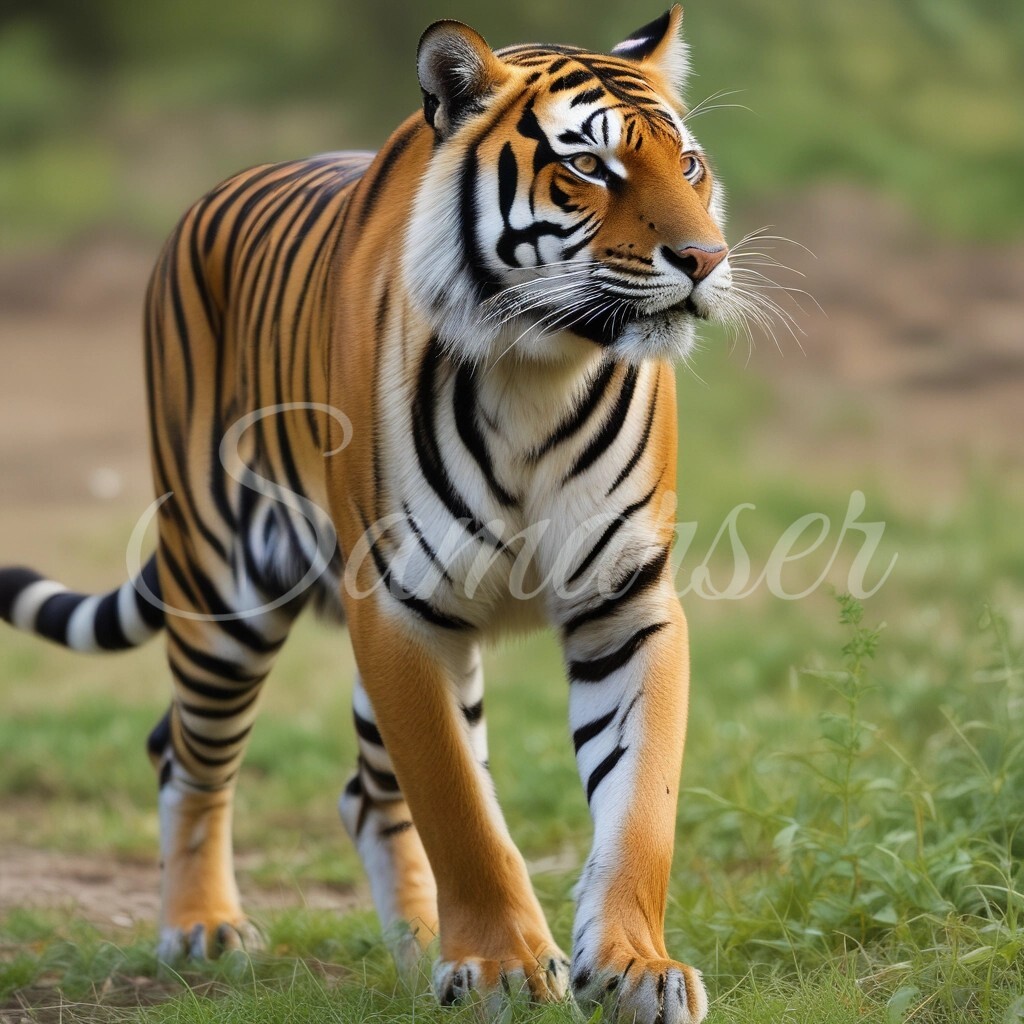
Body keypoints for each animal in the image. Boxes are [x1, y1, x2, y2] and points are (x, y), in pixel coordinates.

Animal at [0, 8, 736, 1023]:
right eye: (589, 165)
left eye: (690, 164)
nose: (705, 259)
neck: (540, 368)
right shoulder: (397, 608)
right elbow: (461, 809)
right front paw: (507, 969)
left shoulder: (626, 604)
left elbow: (640, 806)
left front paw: (634, 967)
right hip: (223, 595)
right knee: (184, 755)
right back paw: (203, 928)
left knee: (367, 792)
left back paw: (423, 946)